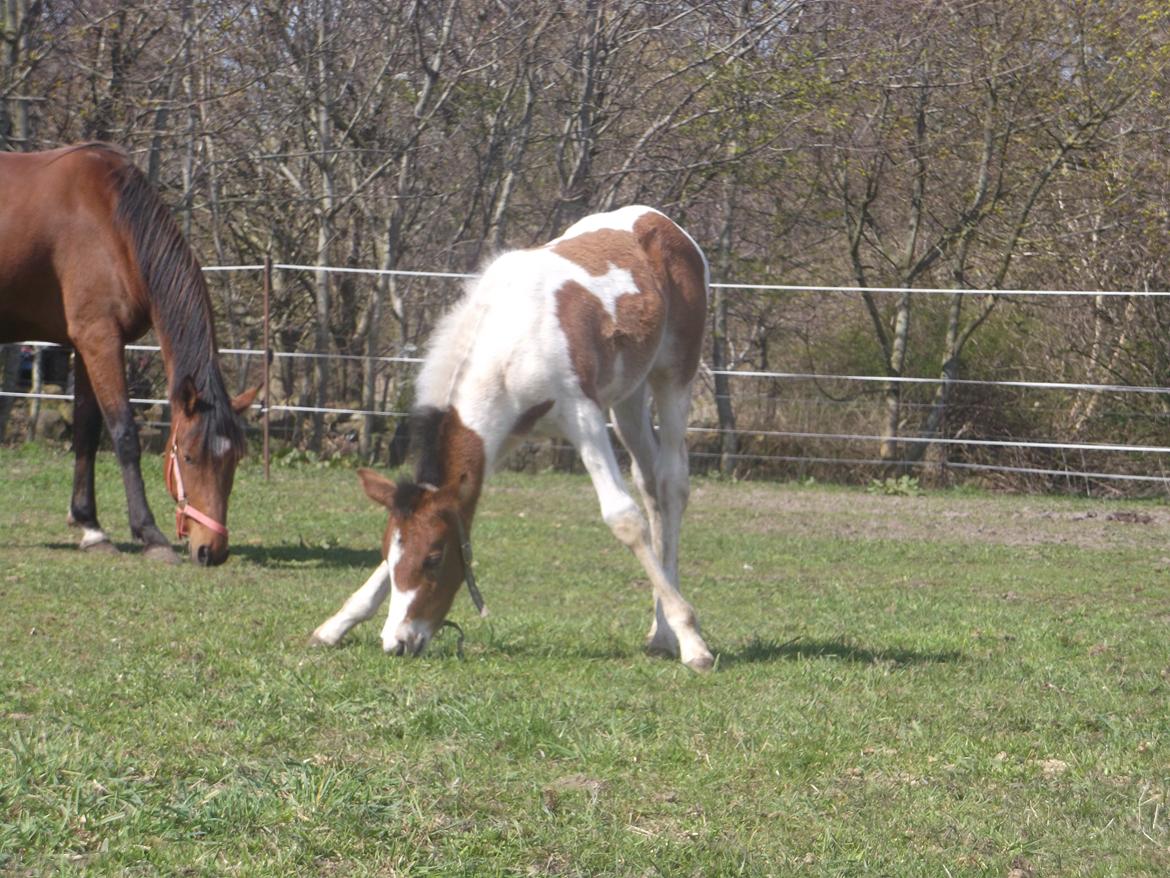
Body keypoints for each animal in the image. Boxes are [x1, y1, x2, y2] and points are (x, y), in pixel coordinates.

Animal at [0, 144, 256, 566]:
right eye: (188, 457)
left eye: (234, 459)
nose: (211, 551)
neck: (111, 220)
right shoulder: (100, 339)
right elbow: (124, 434)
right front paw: (149, 534)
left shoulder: (86, 344)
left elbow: (87, 431)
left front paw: (90, 526)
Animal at [311, 208, 711, 674]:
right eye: (391, 557)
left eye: (434, 558)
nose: (400, 642)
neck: (510, 340)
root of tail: (660, 221)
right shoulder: (498, 439)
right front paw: (337, 624)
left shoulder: (583, 415)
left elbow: (623, 517)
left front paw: (693, 640)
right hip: (628, 397)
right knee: (650, 487)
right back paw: (660, 634)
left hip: (674, 376)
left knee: (670, 484)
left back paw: (677, 633)